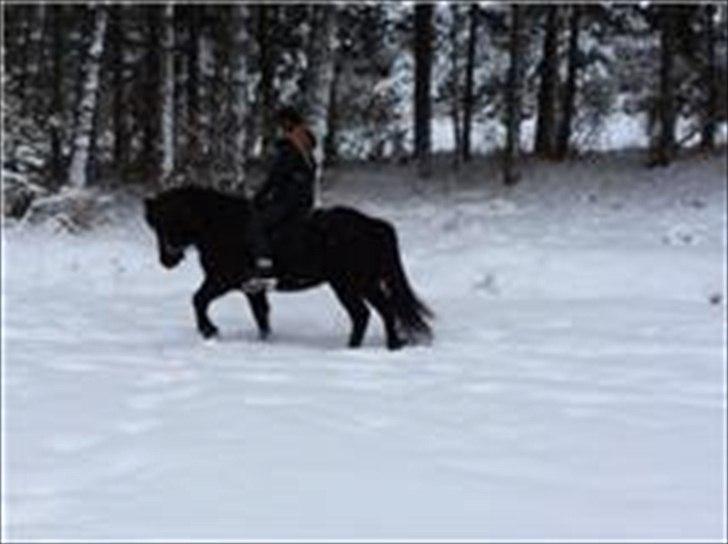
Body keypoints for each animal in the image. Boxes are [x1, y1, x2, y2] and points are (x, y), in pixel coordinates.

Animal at [145, 186, 436, 348]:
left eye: (167, 222)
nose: (166, 261)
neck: (222, 226)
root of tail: (371, 224)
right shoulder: (252, 289)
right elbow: (261, 316)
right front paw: (265, 342)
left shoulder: (223, 280)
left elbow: (198, 300)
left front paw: (210, 331)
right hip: (357, 284)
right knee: (374, 313)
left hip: (352, 284)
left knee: (372, 313)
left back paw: (373, 347)